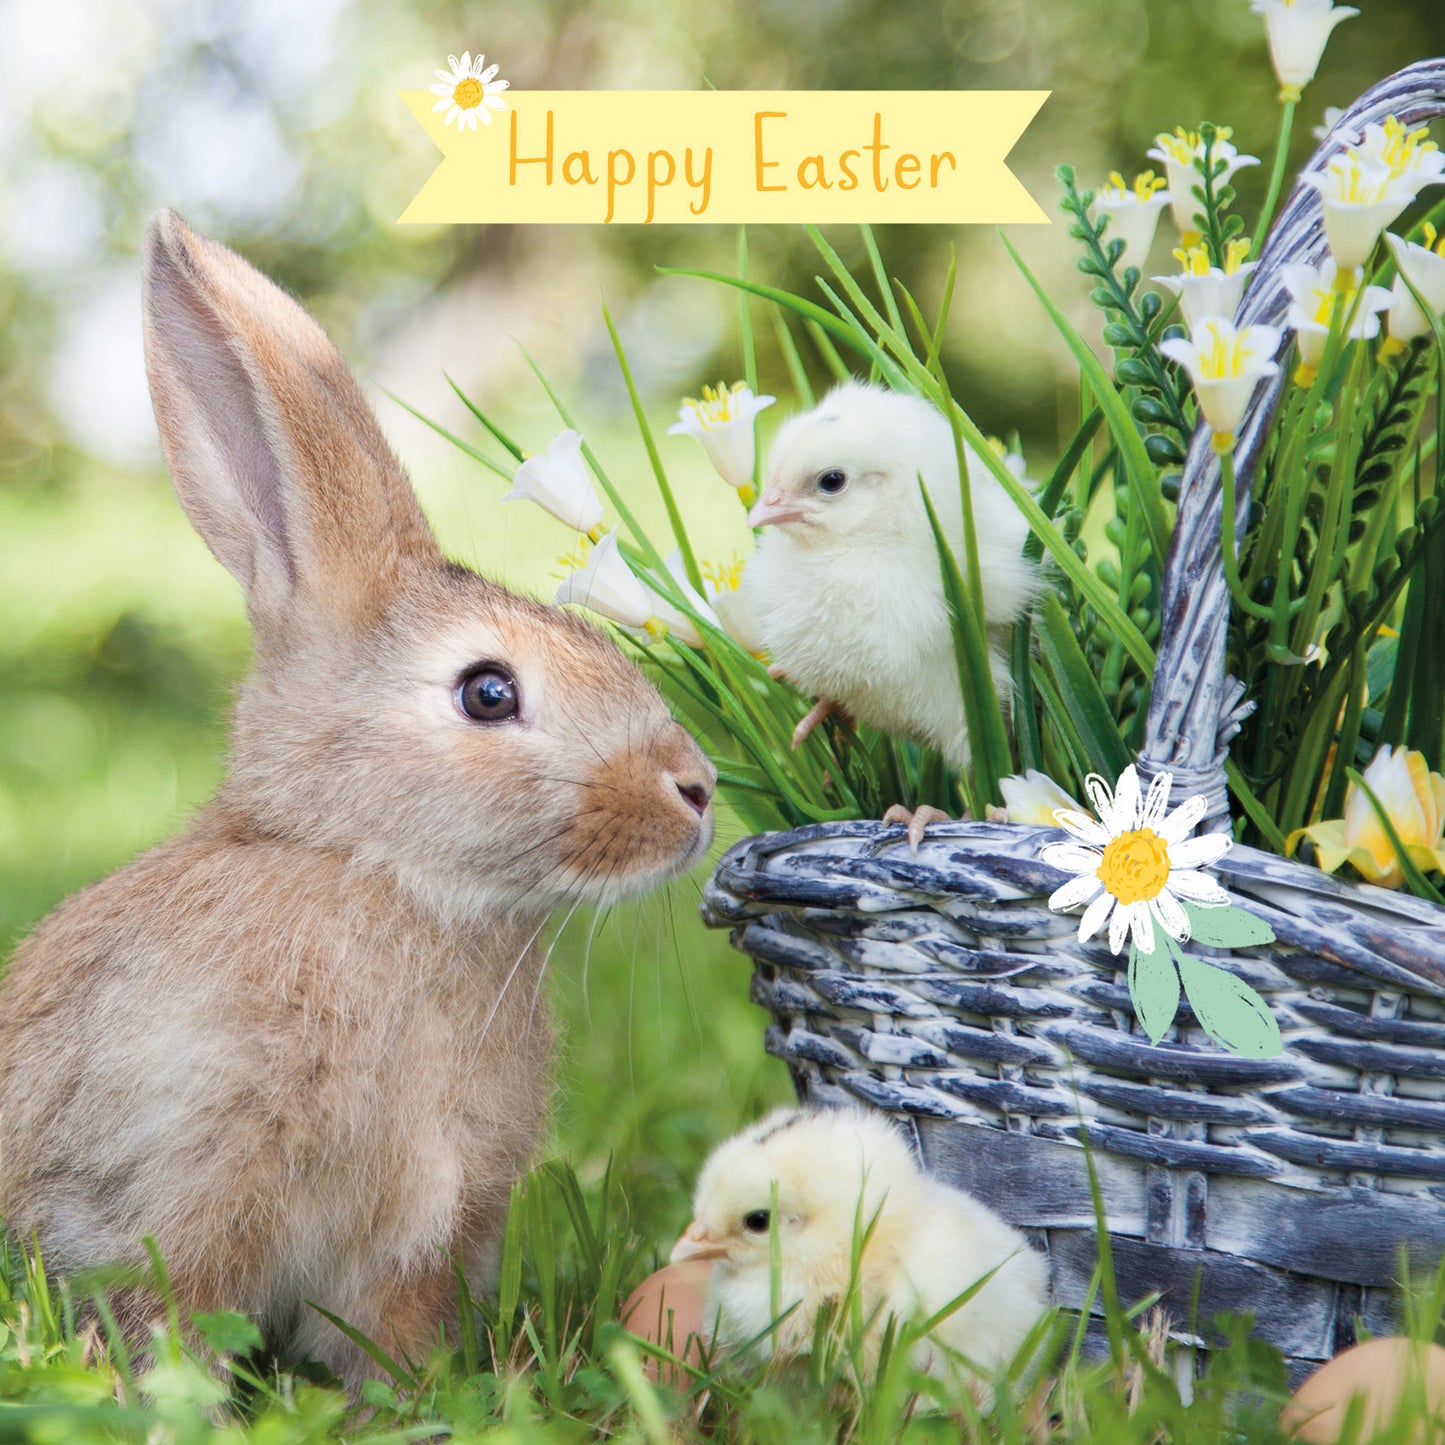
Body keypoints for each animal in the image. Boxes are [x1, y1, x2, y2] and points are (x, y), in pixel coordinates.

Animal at [0, 210, 717, 1389]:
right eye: (487, 691)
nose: (695, 789)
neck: (374, 872)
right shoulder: (179, 1185)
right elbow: (176, 1318)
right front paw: (185, 1398)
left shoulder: (414, 1243)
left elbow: (389, 1340)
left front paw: (409, 1399)